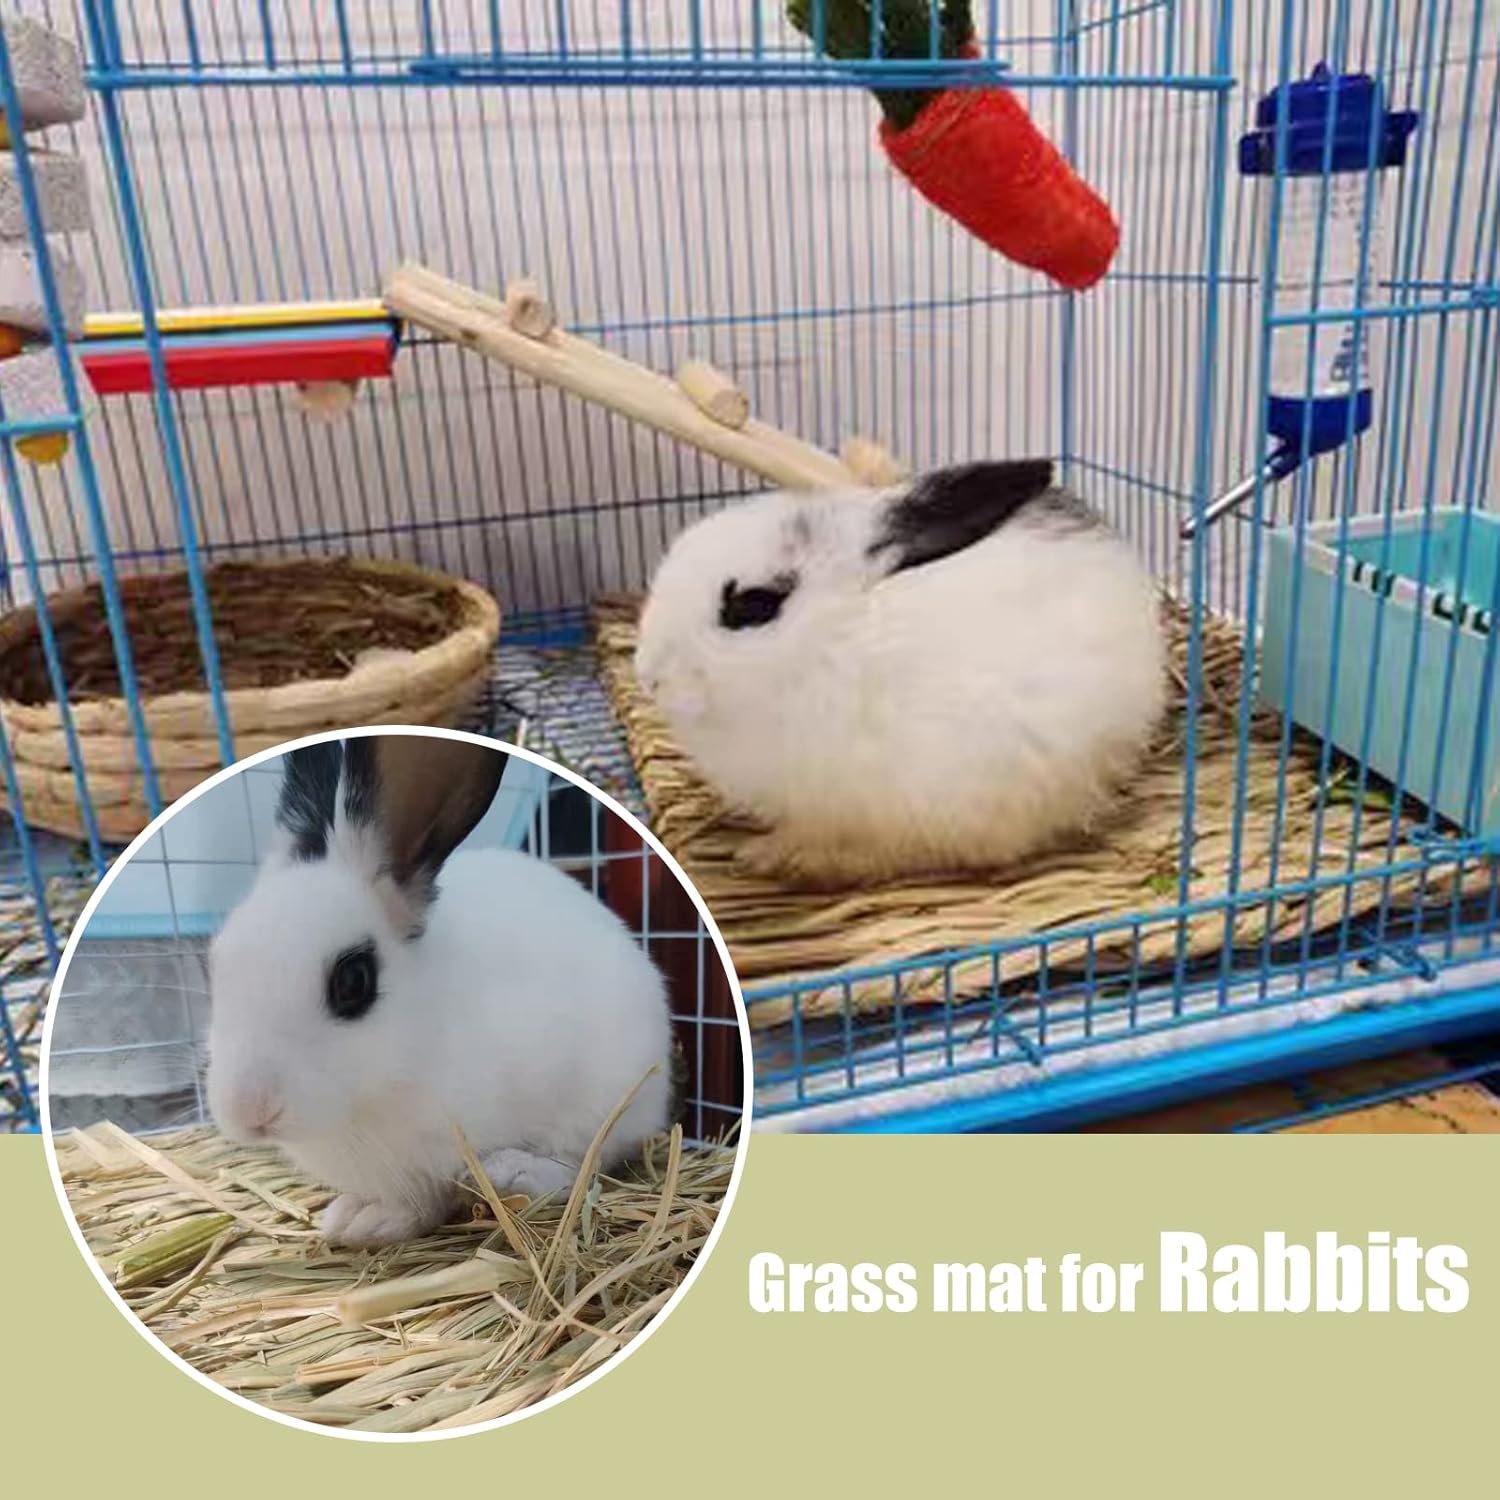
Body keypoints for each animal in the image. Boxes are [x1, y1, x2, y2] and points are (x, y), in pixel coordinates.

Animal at [205, 733, 674, 1248]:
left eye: (353, 981)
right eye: (216, 962)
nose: (249, 1110)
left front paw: (373, 1222)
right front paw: (350, 1216)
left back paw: (515, 1173)